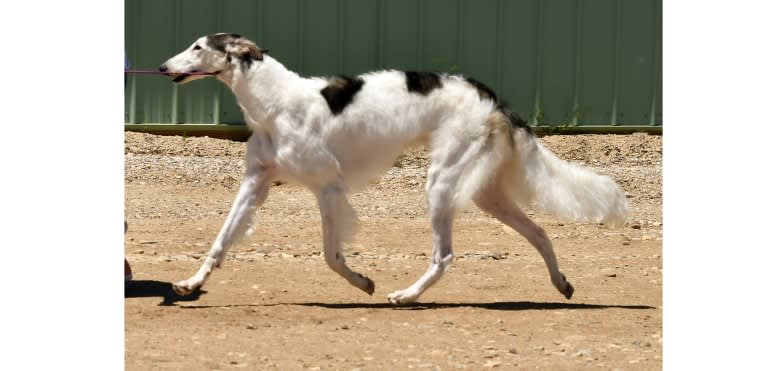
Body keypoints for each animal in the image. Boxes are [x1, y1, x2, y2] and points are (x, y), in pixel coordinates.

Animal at [160, 32, 632, 306]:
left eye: (199, 47)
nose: (163, 67)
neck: (274, 101)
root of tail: (492, 97)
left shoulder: (328, 187)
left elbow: (331, 255)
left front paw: (362, 282)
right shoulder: (256, 183)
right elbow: (220, 241)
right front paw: (191, 283)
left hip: (441, 183)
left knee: (445, 255)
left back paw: (406, 294)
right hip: (486, 193)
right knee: (539, 232)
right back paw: (561, 283)